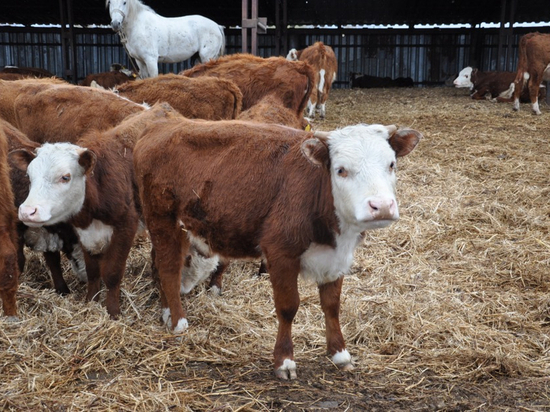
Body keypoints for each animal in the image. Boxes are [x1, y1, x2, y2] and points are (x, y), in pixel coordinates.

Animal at [10, 104, 182, 318]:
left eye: (65, 177)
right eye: (29, 175)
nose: (27, 211)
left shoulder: (126, 227)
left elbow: (112, 272)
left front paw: (113, 312)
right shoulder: (84, 232)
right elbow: (92, 271)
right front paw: (90, 302)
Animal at [135, 116, 422, 380]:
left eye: (391, 164)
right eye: (341, 170)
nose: (381, 206)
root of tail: (164, 126)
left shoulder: (336, 258)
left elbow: (332, 305)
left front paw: (340, 353)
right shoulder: (281, 253)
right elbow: (288, 307)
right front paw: (284, 361)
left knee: (159, 264)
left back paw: (165, 312)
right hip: (163, 221)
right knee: (169, 270)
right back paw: (178, 322)